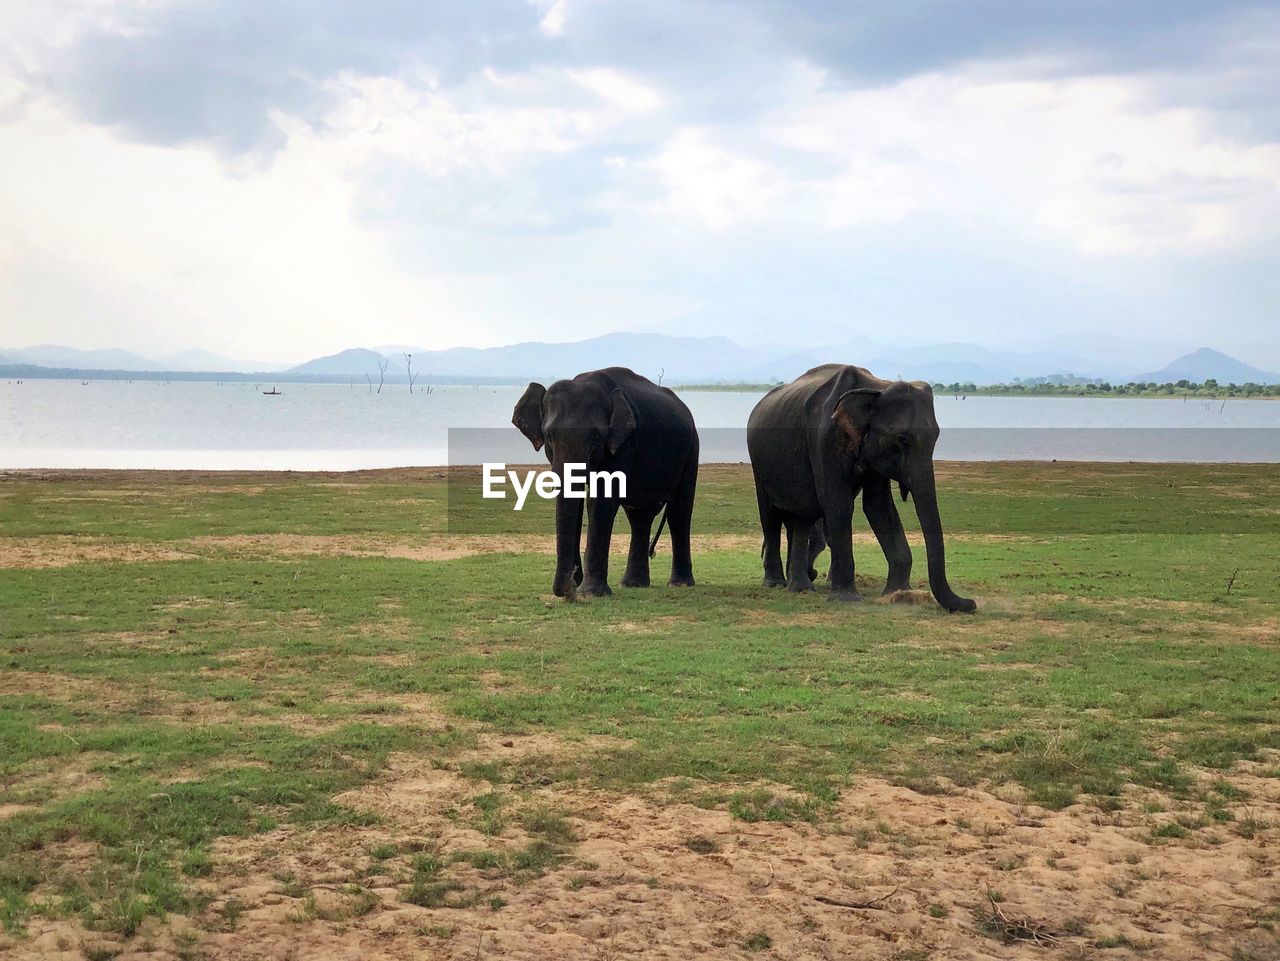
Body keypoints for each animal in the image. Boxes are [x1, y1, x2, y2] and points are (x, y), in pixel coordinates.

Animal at [509, 365, 701, 598]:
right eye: (549, 436)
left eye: (596, 437)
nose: (569, 587)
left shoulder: (625, 442)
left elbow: (600, 502)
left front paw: (590, 593)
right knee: (640, 514)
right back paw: (632, 584)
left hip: (691, 449)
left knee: (679, 511)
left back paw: (679, 584)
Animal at [747, 363, 972, 611]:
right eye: (902, 439)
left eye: (936, 438)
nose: (971, 603)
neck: (875, 388)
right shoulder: (825, 438)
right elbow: (837, 502)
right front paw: (848, 598)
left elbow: (878, 507)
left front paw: (897, 592)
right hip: (758, 462)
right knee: (770, 517)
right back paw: (777, 583)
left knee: (802, 517)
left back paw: (801, 586)